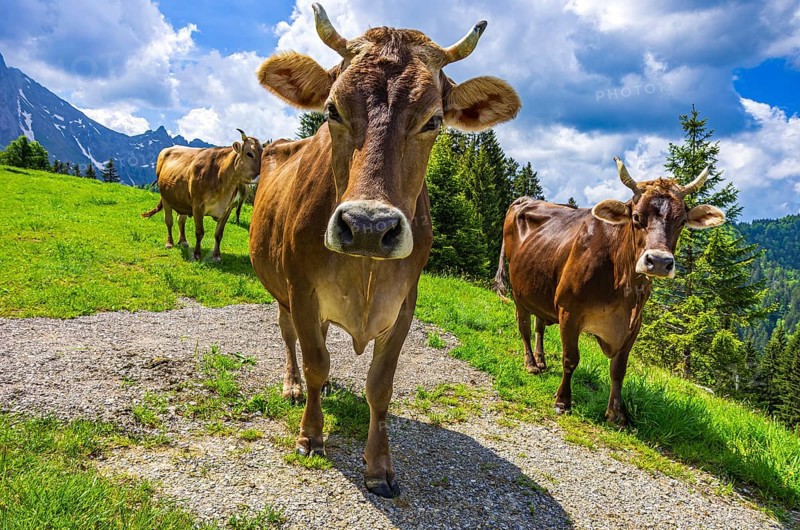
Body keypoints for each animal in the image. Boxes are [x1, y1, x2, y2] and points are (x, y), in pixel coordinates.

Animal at [142, 129, 262, 262]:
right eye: (249, 154)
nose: (261, 175)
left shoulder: (228, 208)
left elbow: (219, 234)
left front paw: (216, 255)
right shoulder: (197, 206)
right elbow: (199, 232)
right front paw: (197, 254)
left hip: (182, 200)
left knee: (181, 220)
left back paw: (183, 241)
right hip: (165, 198)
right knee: (169, 221)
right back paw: (169, 243)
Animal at [250, 4, 520, 498]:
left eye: (434, 120)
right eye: (332, 109)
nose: (368, 227)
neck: (365, 272)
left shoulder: (404, 305)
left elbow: (380, 386)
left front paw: (378, 466)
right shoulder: (301, 290)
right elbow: (315, 362)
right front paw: (310, 434)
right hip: (280, 290)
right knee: (290, 337)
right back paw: (293, 386)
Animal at [493, 158, 725, 426]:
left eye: (681, 222)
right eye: (636, 217)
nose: (658, 261)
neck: (622, 287)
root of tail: (525, 199)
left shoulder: (634, 324)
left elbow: (618, 370)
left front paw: (616, 413)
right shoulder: (569, 310)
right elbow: (570, 358)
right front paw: (563, 401)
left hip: (541, 289)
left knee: (540, 325)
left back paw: (541, 362)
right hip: (519, 293)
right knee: (524, 327)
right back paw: (531, 363)